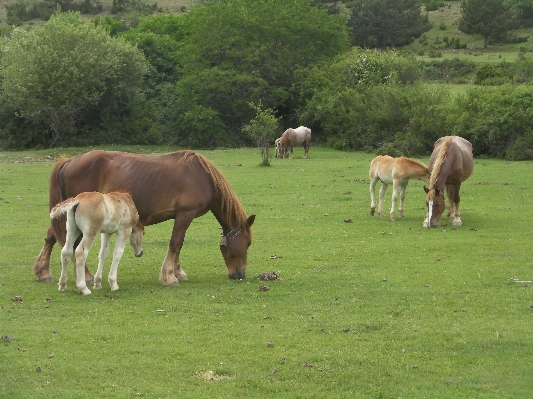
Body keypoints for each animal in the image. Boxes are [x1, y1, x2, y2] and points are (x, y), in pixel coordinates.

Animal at [33, 151, 256, 288]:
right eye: (247, 243)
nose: (240, 274)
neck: (202, 176)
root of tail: (68, 161)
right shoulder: (185, 214)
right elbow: (176, 243)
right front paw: (169, 277)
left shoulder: (182, 216)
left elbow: (179, 245)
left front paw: (178, 272)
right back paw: (85, 276)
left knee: (53, 236)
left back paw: (43, 271)